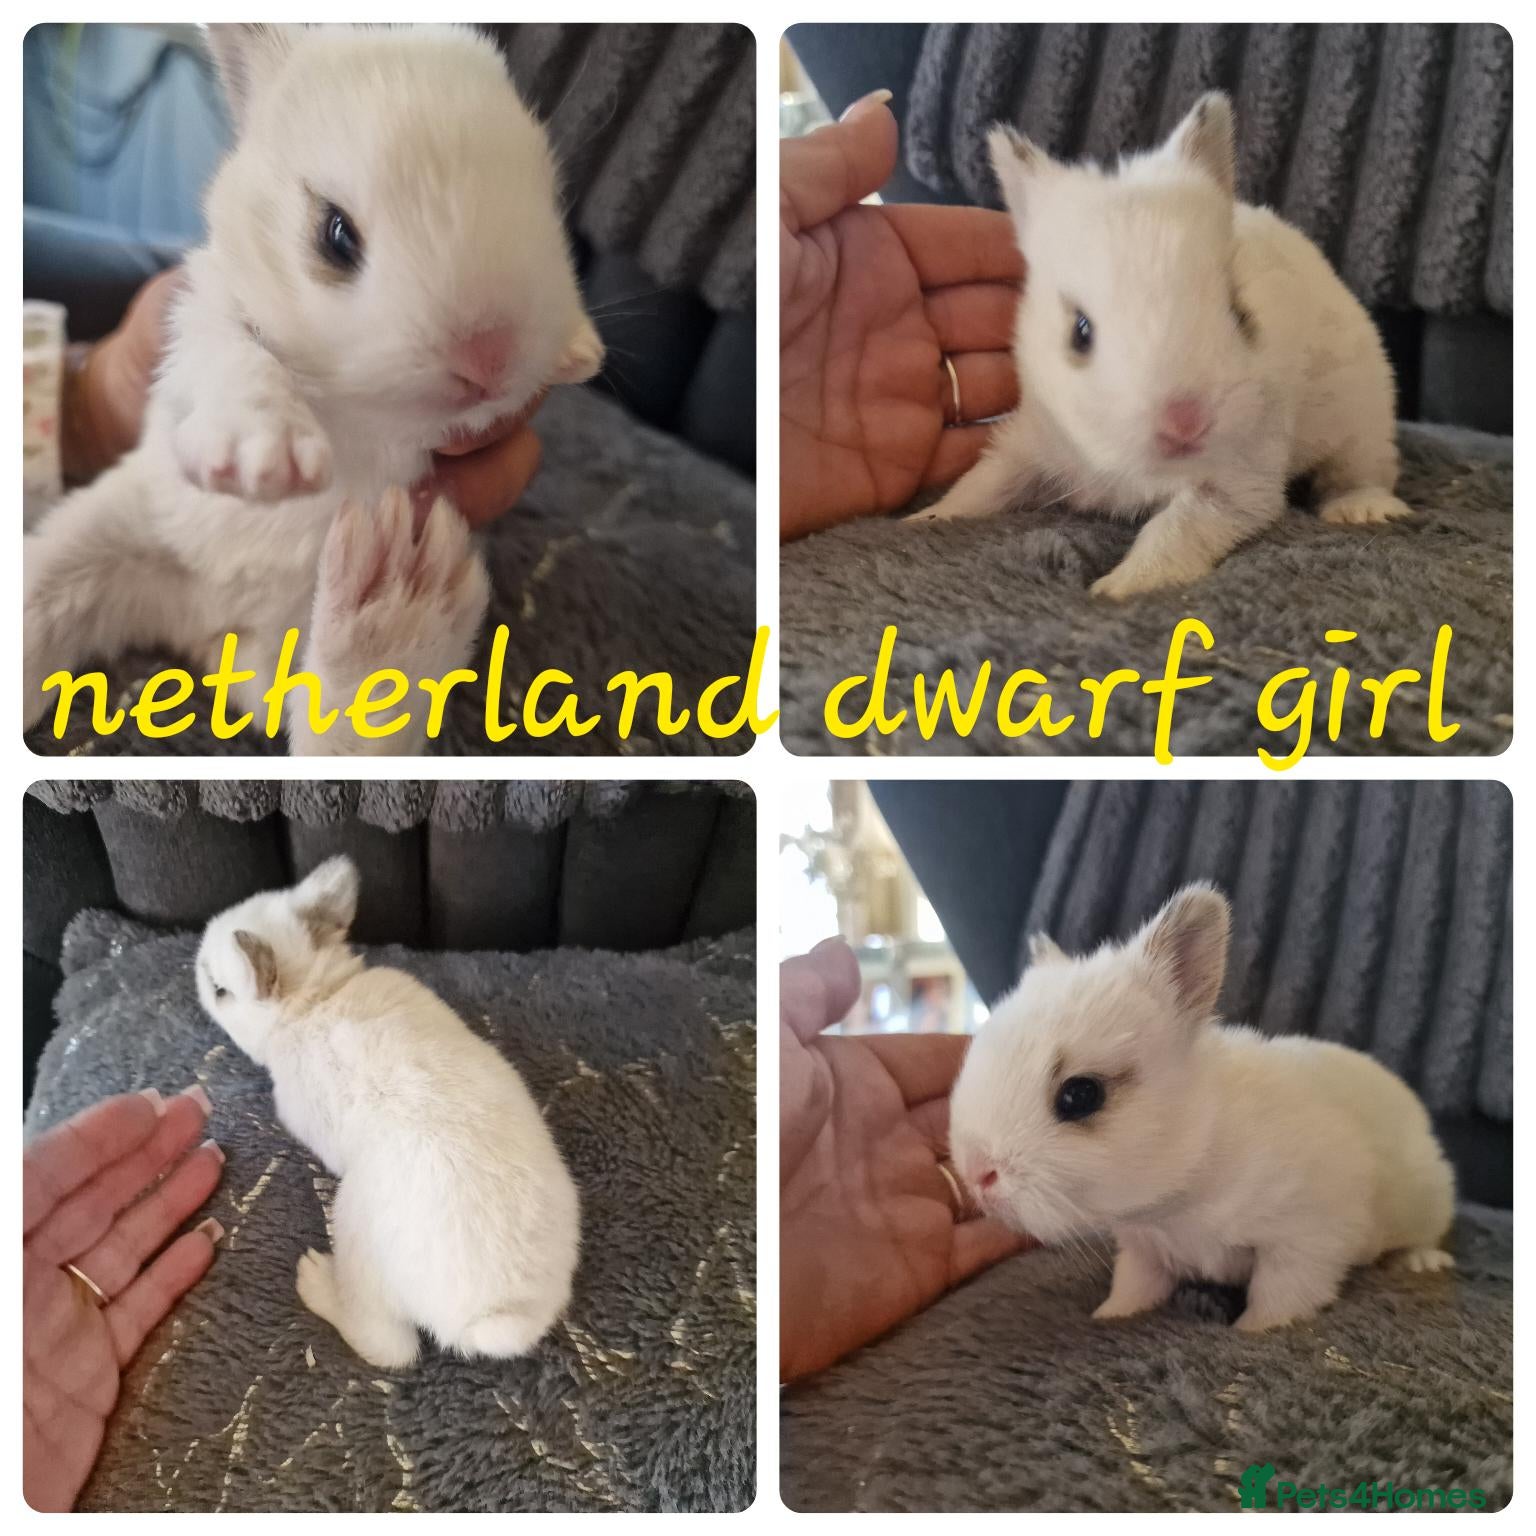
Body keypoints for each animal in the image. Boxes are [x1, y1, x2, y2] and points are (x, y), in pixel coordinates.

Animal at [24, 23, 603, 753]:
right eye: (336, 235)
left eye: (547, 199)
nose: (489, 356)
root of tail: (217, 626)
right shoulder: (205, 321)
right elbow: (241, 361)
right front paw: (264, 459)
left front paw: (580, 352)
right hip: (92, 545)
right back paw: (399, 594)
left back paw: (396, 603)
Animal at [196, 855, 580, 1367]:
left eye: (219, 990)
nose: (194, 966)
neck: (315, 998)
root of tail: (496, 1313)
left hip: (354, 1230)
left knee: (388, 1346)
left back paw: (316, 1280)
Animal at [916, 92, 1410, 600]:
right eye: (1080, 332)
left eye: (1239, 312)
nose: (1185, 423)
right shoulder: (1029, 442)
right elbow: (984, 483)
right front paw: (927, 517)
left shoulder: (1236, 481)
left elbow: (1176, 530)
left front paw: (1119, 587)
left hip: (1364, 425)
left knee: (1361, 472)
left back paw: (1363, 510)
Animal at [949, 884, 1455, 1333]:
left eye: (1080, 1095)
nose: (976, 1175)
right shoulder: (1144, 1249)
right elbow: (1135, 1286)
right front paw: (1110, 1315)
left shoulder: (1307, 1237)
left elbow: (1282, 1295)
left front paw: (1253, 1331)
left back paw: (1420, 1262)